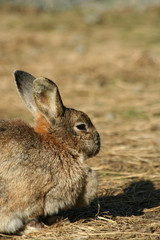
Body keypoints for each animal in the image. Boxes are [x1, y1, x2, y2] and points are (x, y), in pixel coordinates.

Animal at [0, 70, 100, 233]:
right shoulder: (35, 197)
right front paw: (35, 228)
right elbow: (32, 215)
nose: (98, 144)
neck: (60, 145)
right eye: (81, 126)